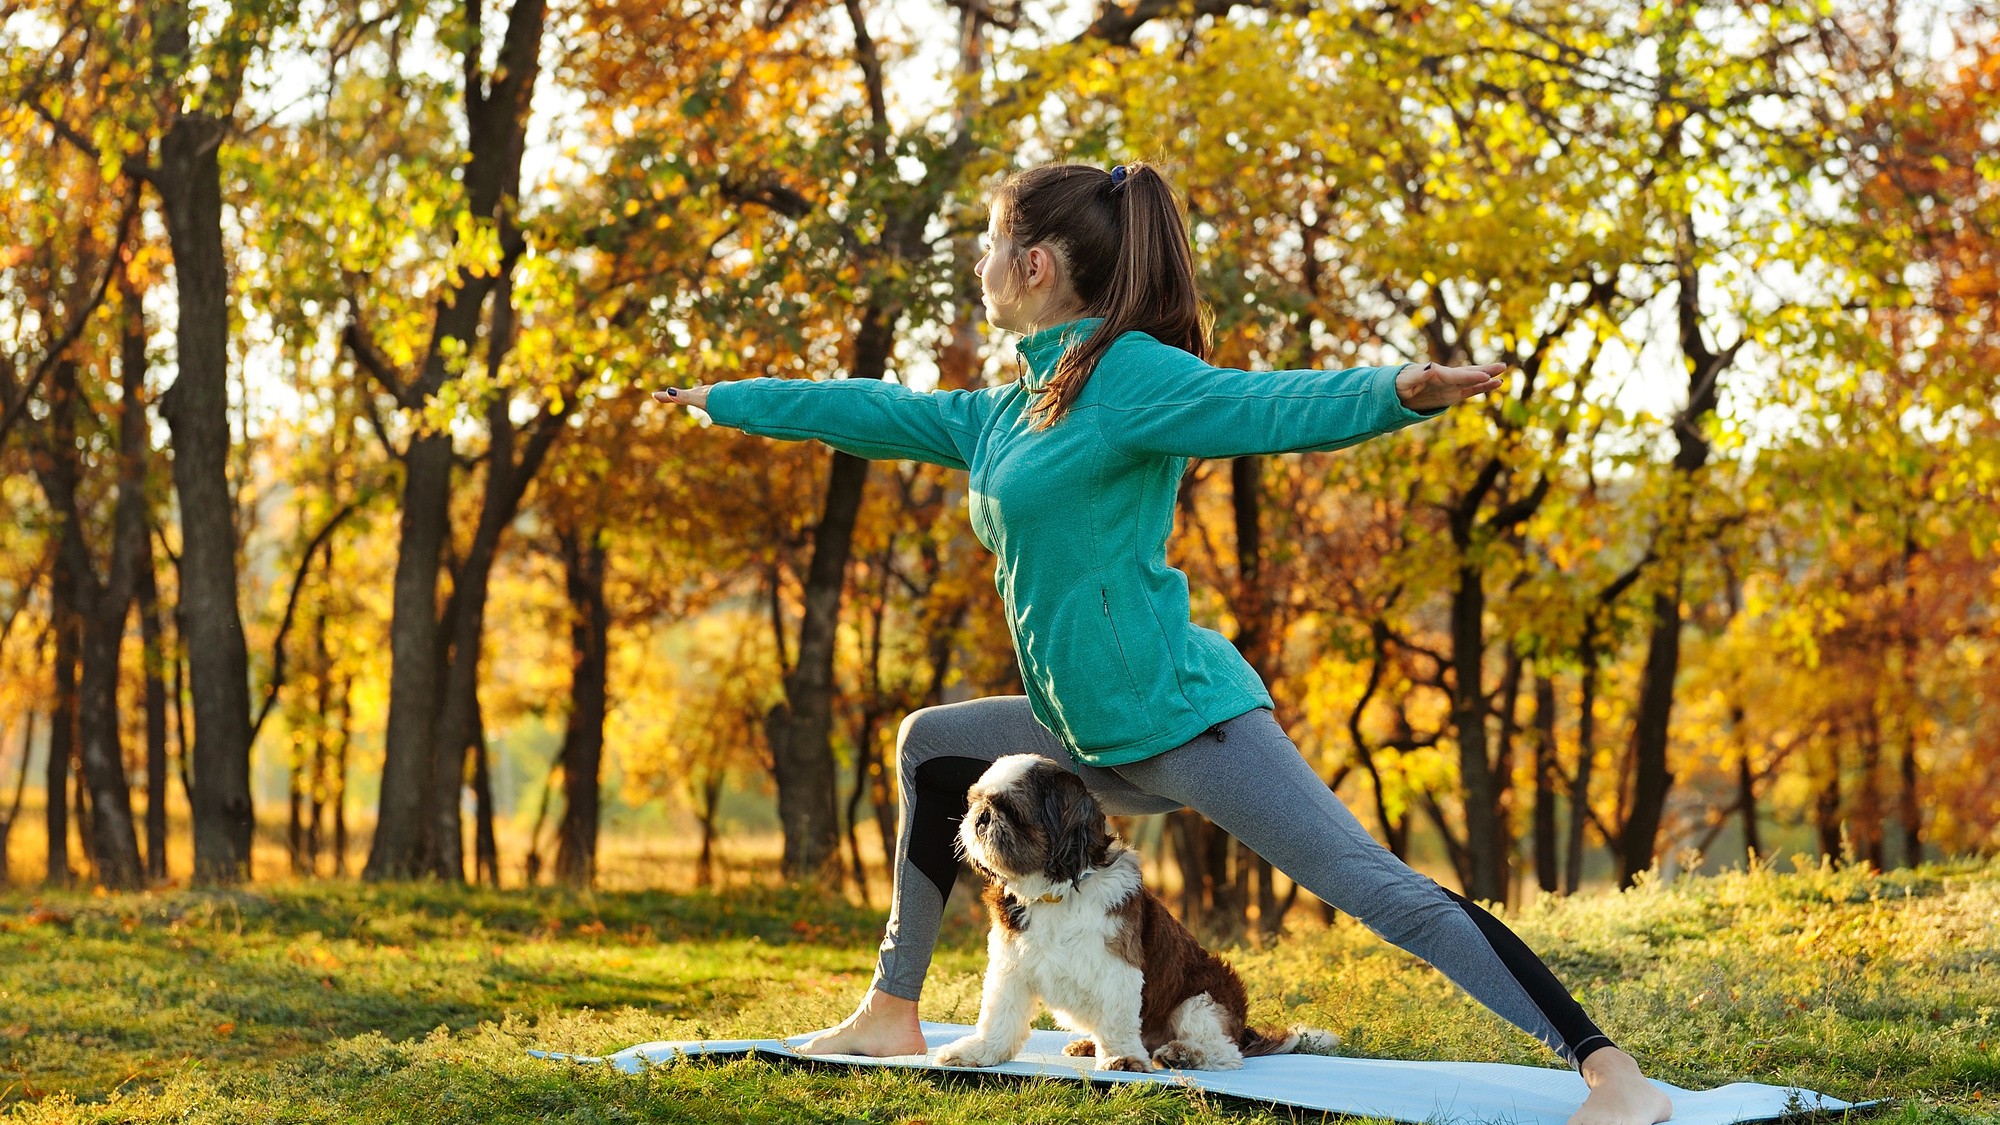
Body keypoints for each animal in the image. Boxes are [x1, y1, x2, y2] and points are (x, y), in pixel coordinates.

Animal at [928, 748, 1336, 1064]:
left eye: (1011, 811)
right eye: (976, 802)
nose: (980, 817)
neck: (1053, 893)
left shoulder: (1118, 967)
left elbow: (1118, 1017)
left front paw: (1122, 1057)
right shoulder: (1011, 966)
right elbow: (999, 1017)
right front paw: (979, 1052)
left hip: (1201, 1001)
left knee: (1223, 1052)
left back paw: (1183, 1054)